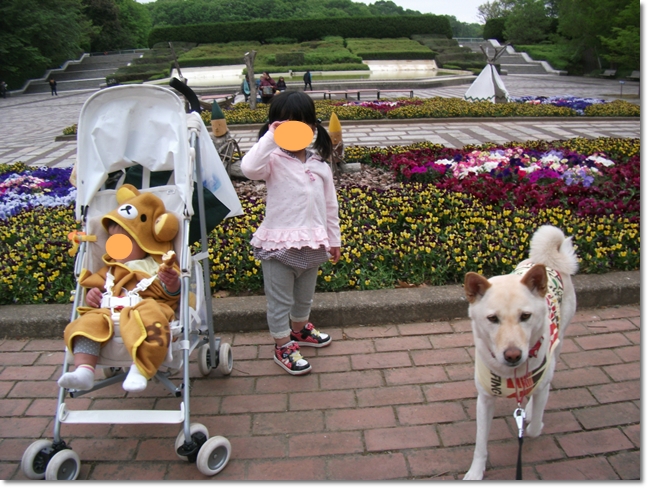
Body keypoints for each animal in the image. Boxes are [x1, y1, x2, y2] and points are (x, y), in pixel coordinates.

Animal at [462, 225, 578, 480]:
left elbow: (533, 428)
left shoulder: (541, 383)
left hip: (559, 342)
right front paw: (475, 472)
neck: (510, 375)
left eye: (525, 316)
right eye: (492, 318)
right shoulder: (484, 399)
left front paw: (534, 419)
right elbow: (479, 443)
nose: (513, 355)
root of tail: (545, 260)